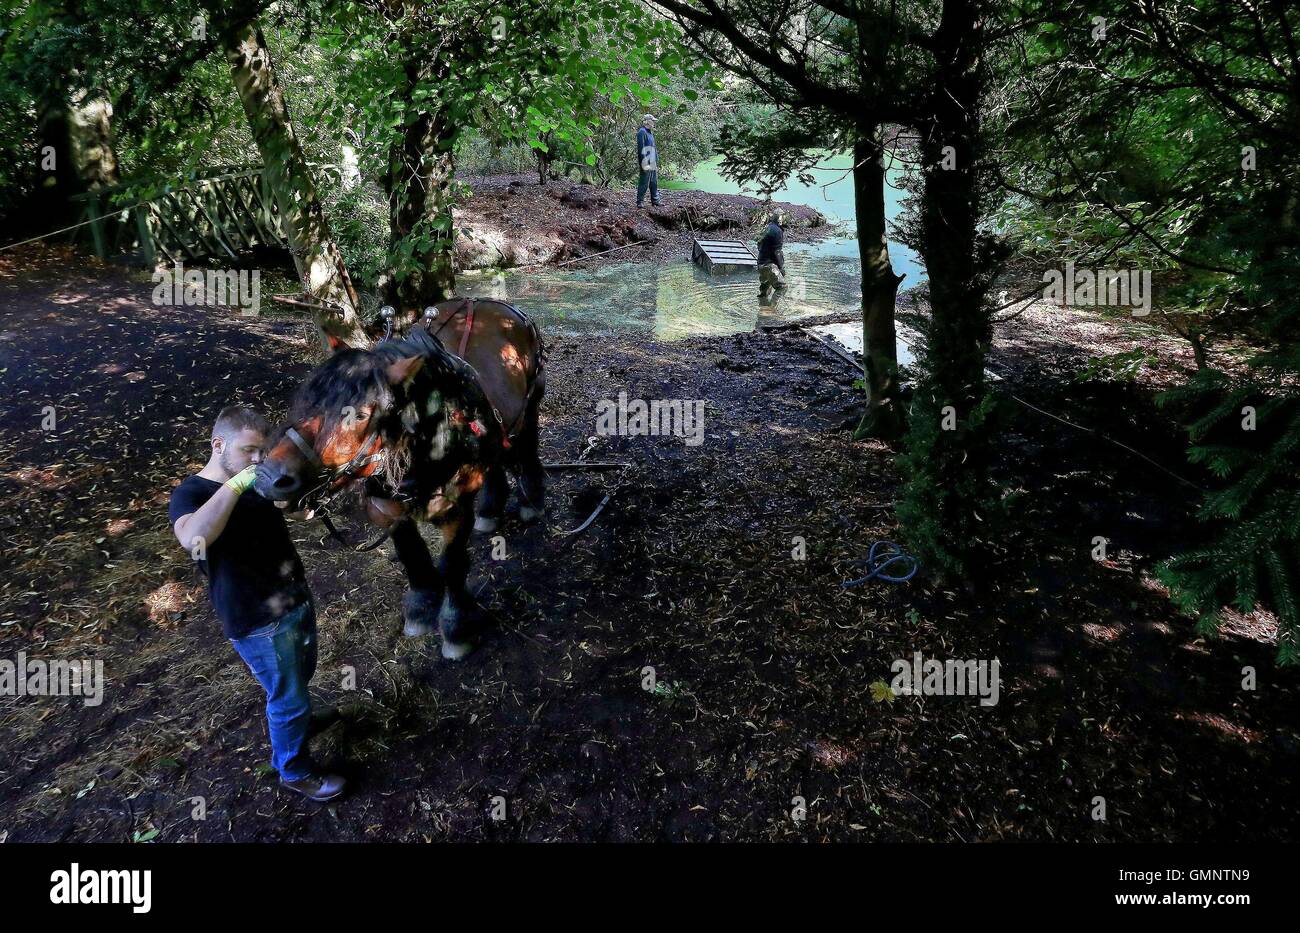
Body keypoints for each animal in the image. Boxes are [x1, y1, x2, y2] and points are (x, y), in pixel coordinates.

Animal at [253, 300, 543, 657]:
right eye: (305, 399)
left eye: (361, 415)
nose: (268, 478)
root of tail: (495, 305)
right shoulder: (386, 506)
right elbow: (411, 553)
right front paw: (420, 606)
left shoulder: (457, 509)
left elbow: (452, 563)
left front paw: (456, 626)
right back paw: (490, 510)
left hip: (530, 405)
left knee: (527, 447)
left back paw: (532, 502)